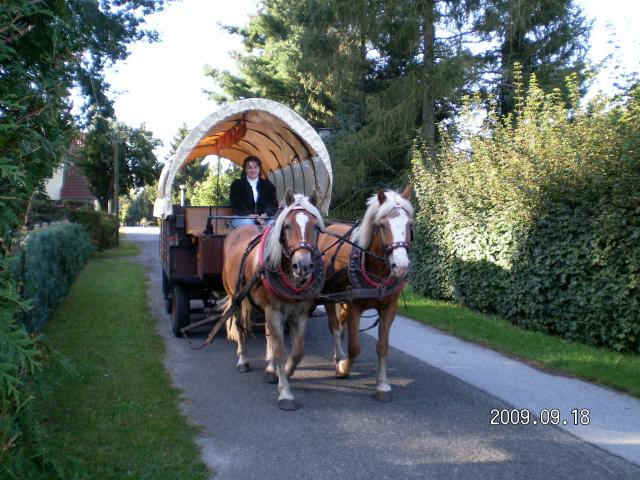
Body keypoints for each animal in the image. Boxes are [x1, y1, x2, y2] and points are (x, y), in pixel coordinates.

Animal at [224, 189, 324, 410]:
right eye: (286, 226)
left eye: (315, 226)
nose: (302, 266)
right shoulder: (274, 311)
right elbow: (280, 351)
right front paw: (285, 393)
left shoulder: (300, 313)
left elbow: (297, 351)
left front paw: (283, 371)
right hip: (236, 298)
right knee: (240, 326)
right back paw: (243, 361)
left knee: (268, 334)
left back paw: (270, 369)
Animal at [320, 188, 416, 402]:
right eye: (382, 225)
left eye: (409, 224)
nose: (401, 266)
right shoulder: (355, 305)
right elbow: (354, 347)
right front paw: (343, 368)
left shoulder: (389, 308)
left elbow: (383, 347)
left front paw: (382, 385)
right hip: (328, 294)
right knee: (335, 326)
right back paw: (339, 357)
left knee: (340, 323)